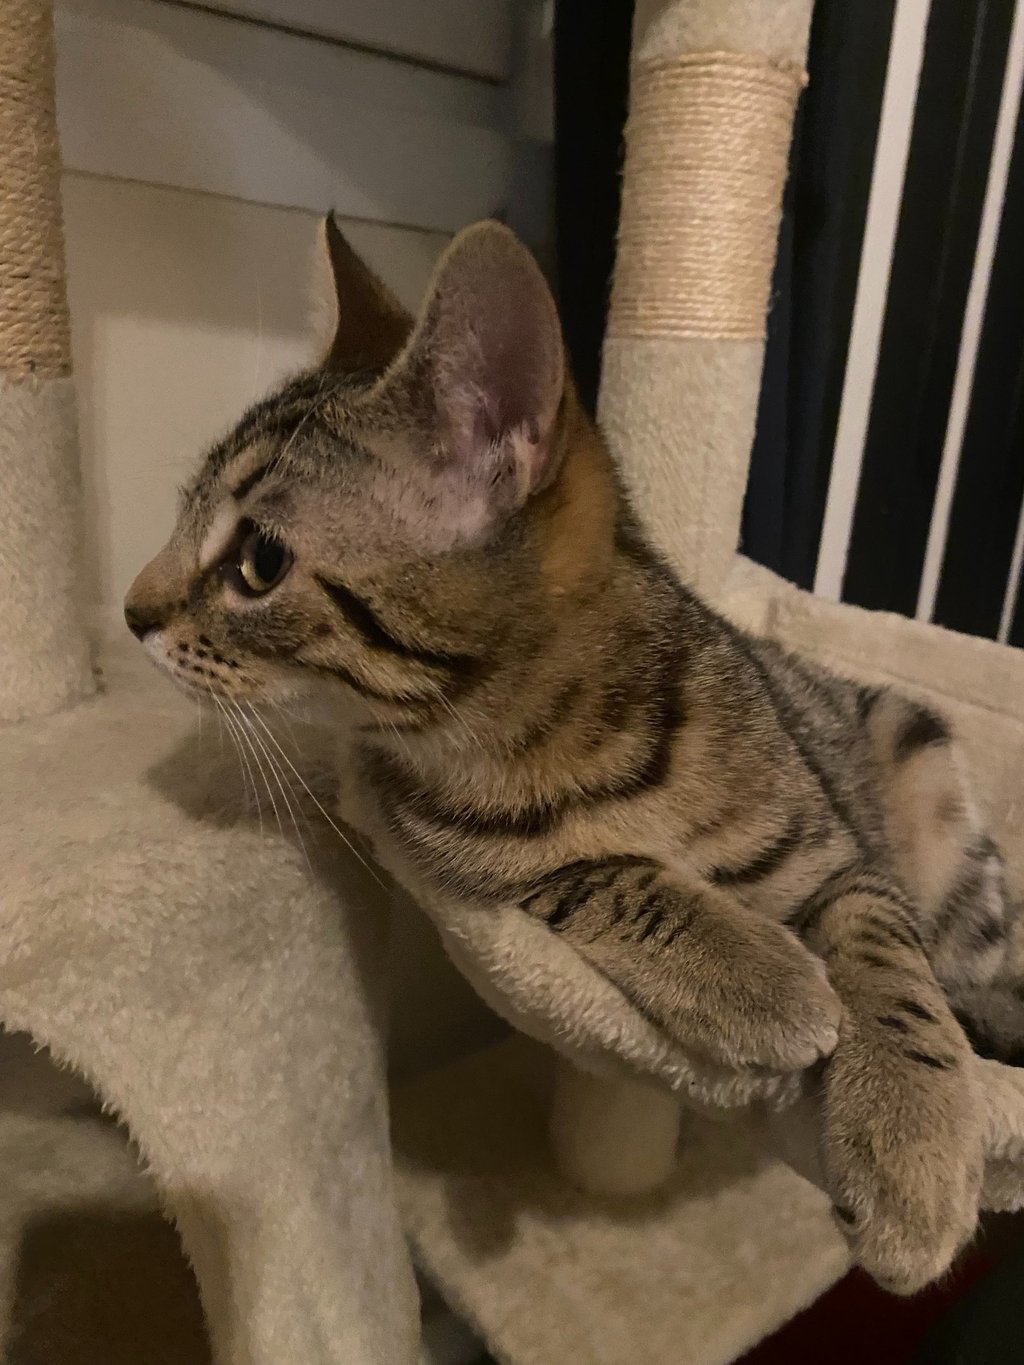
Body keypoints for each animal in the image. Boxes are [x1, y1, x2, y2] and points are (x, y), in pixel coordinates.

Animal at [125, 214, 1023, 1295]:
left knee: (970, 966)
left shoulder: (840, 856)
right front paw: (764, 979)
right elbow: (600, 873)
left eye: (257, 562)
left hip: (925, 773)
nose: (129, 611)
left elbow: (889, 965)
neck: (561, 738)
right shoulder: (455, 863)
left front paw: (913, 1140)